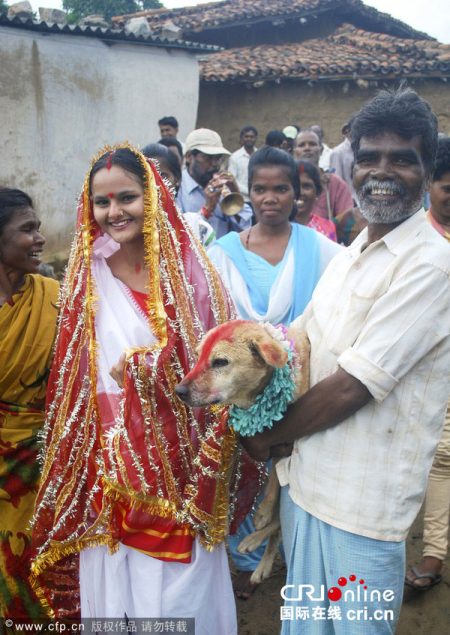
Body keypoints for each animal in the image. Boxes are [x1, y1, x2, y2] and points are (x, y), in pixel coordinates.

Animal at [176, 320, 310, 584]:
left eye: (220, 362)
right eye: (198, 356)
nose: (179, 391)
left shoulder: (285, 440)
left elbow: (275, 481)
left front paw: (263, 512)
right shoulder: (238, 438)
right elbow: (226, 475)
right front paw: (223, 511)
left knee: (279, 522)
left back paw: (255, 541)